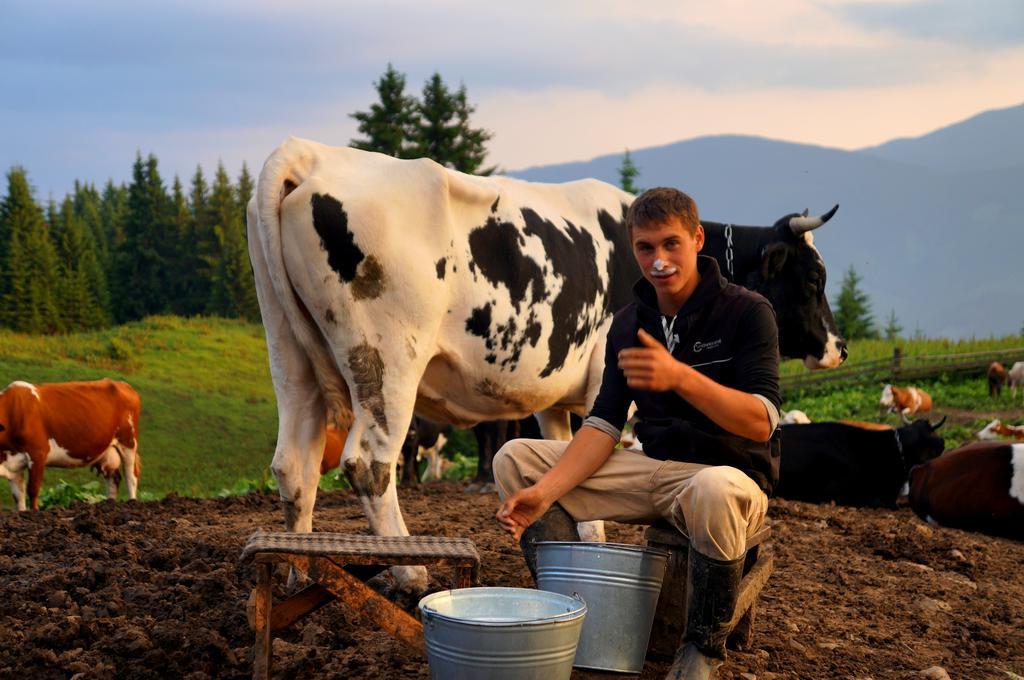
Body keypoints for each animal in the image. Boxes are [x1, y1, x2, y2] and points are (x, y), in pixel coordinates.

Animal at [0, 376, 141, 510]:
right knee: (114, 479)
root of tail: (123, 384)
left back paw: (132, 503)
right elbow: (18, 496)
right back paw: (109, 504)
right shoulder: (13, 465)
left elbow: (33, 490)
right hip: (108, 451)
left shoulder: (38, 453)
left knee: (131, 477)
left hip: (128, 442)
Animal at [247, 137, 847, 589]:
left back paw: (297, 572)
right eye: (813, 278)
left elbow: (566, 466)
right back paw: (410, 572)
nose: (839, 347)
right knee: (369, 462)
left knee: (294, 464)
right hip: (386, 357)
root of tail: (312, 154)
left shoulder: (556, 398)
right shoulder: (606, 374)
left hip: (290, 356)